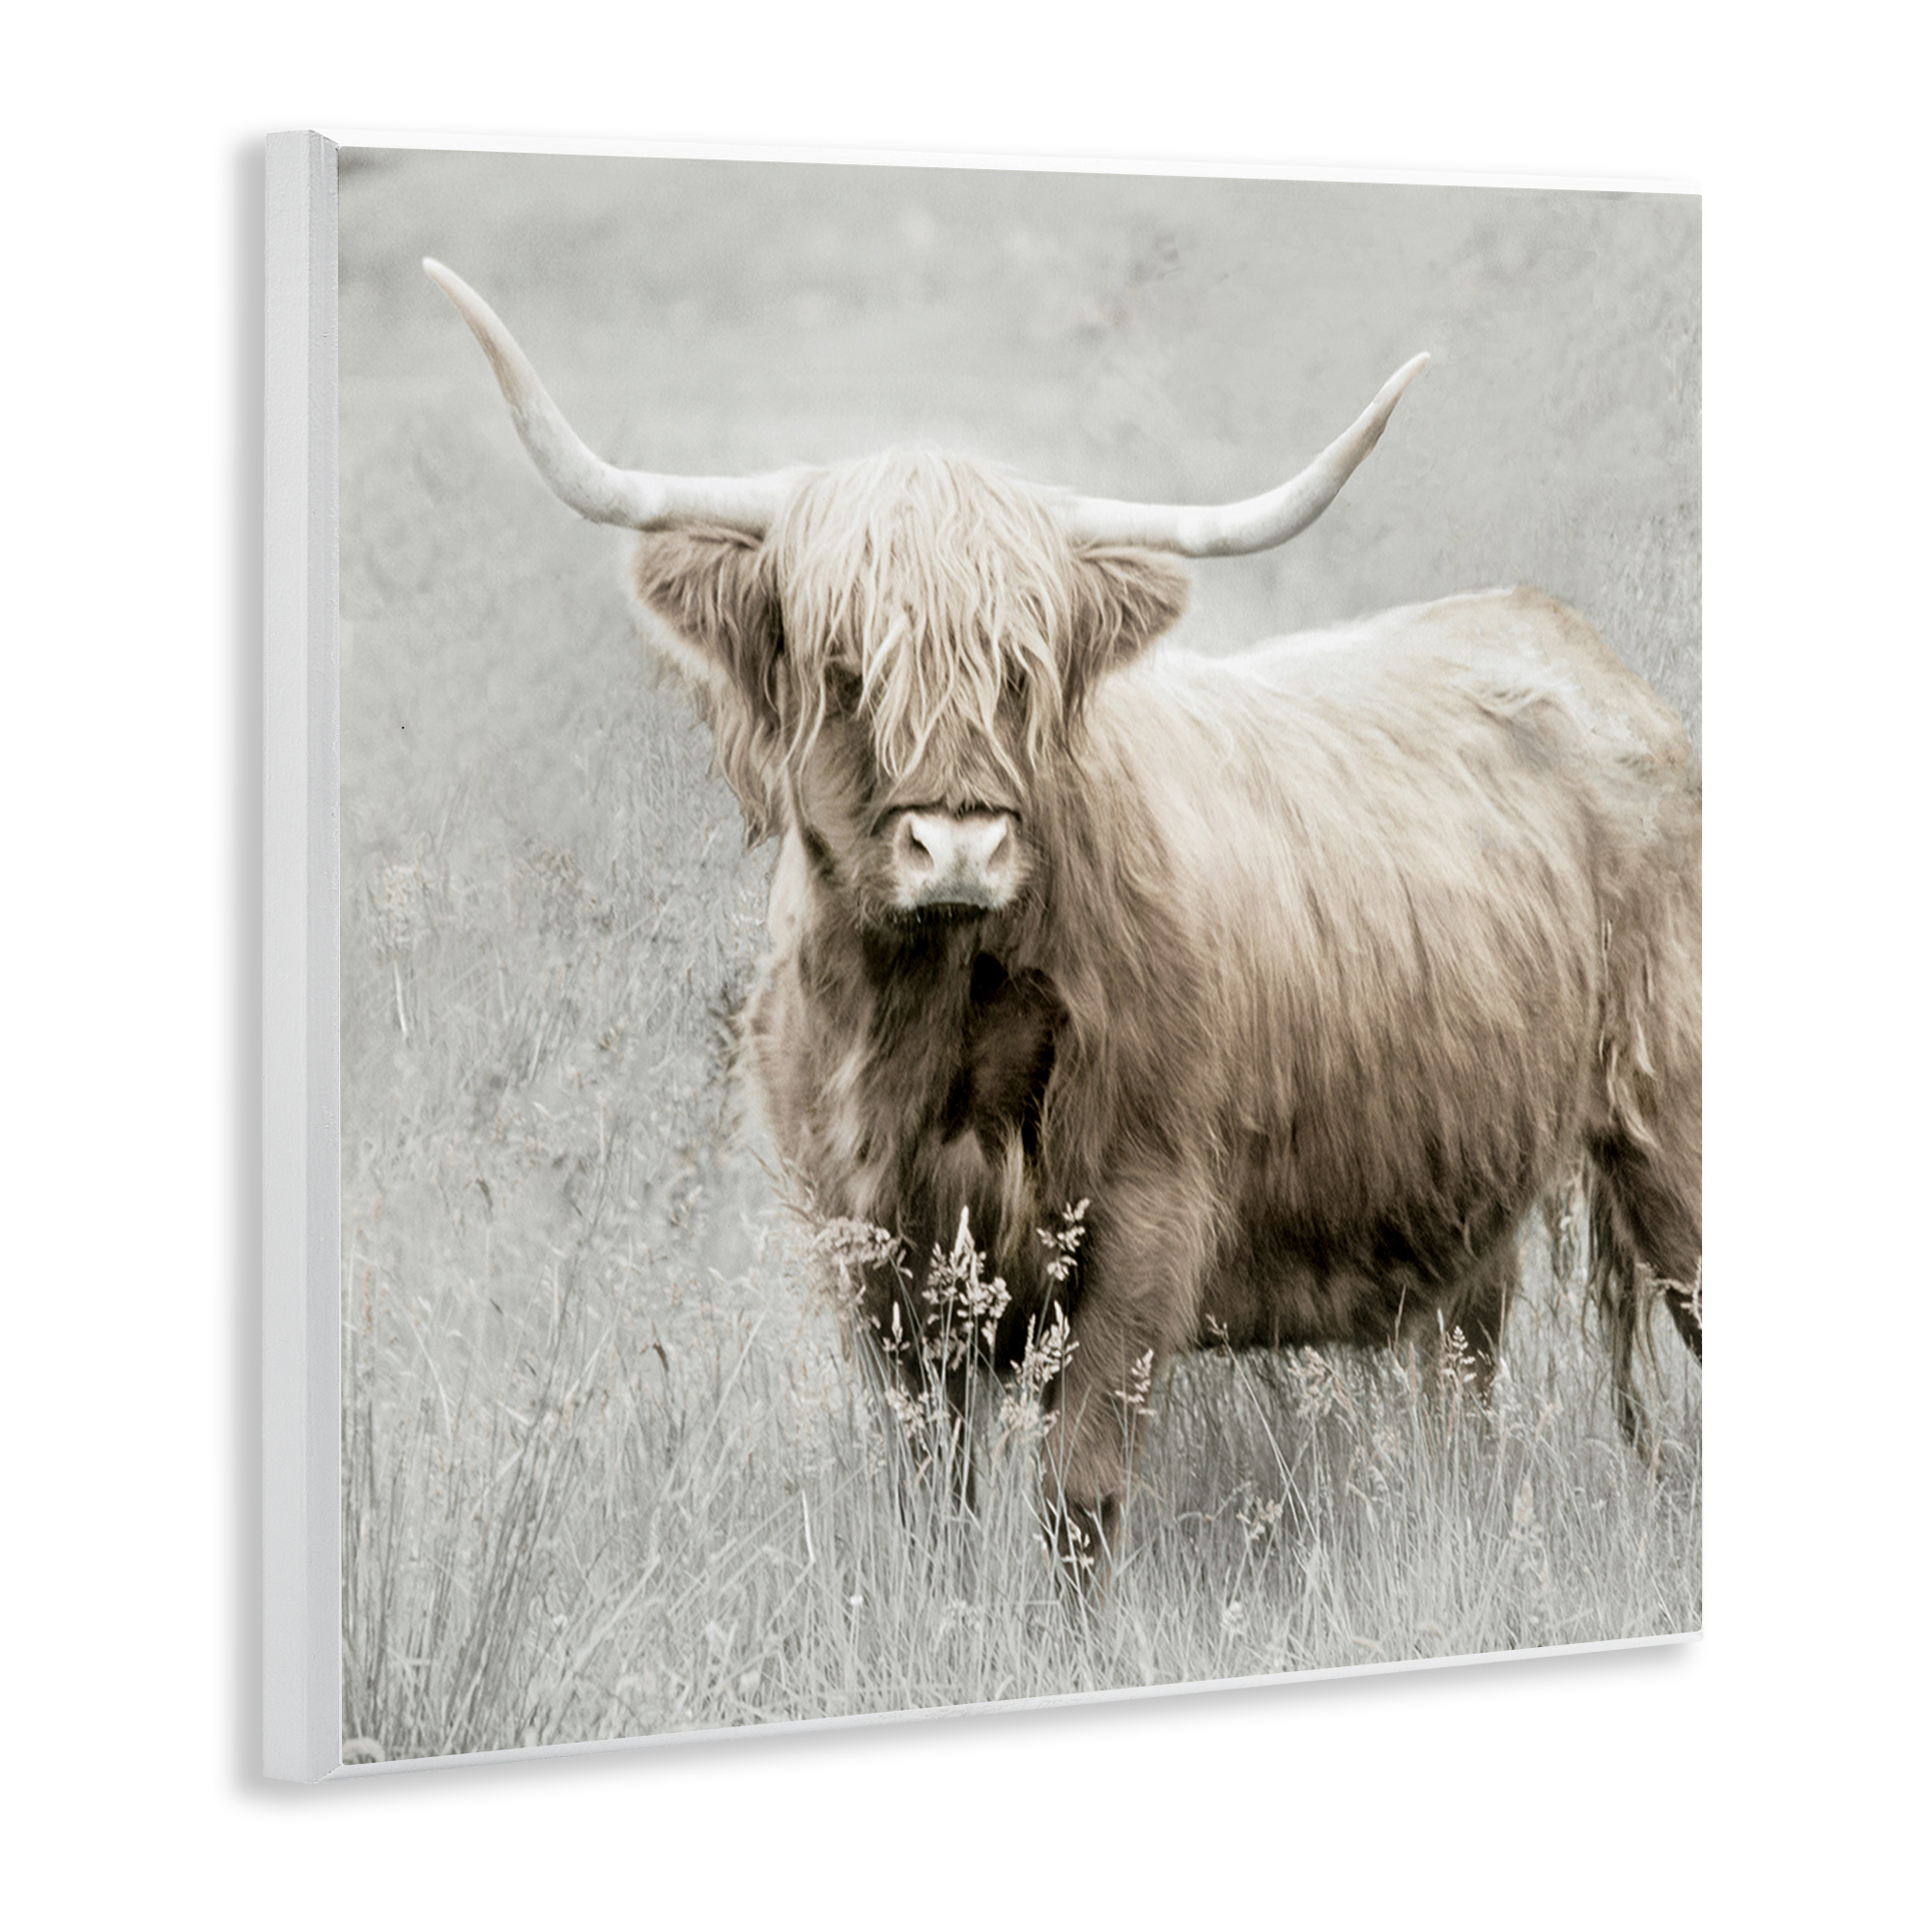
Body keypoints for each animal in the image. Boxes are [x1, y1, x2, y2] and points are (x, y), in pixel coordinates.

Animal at [425, 258, 1702, 1579]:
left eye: (1020, 670)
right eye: (844, 665)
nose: (957, 846)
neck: (926, 1028)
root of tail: (1573, 645)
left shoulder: (1140, 1227)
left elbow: (1077, 1498)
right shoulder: (874, 1256)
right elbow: (923, 1497)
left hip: (1672, 1123)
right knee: (1464, 1378)